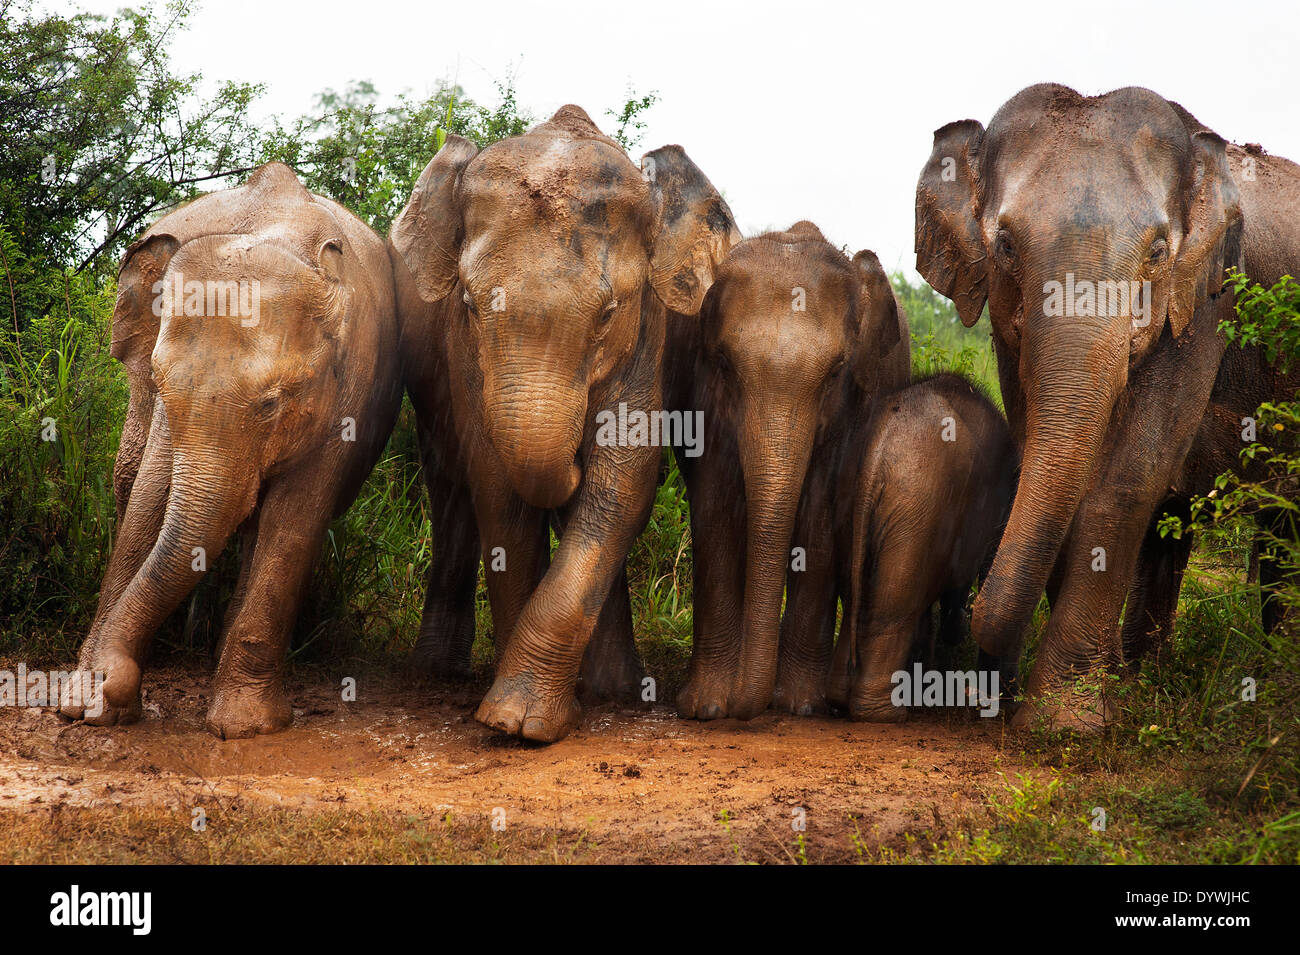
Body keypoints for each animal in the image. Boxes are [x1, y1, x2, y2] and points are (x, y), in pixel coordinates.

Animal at [59, 162, 400, 738]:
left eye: (271, 404)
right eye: (158, 382)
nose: (111, 677)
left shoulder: (350, 387)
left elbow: (296, 517)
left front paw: (244, 727)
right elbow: (150, 500)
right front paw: (90, 703)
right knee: (130, 484)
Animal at [387, 106, 743, 748]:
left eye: (607, 314)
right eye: (470, 304)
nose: (572, 454)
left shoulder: (648, 333)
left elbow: (622, 480)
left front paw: (524, 720)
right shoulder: (464, 352)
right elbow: (496, 485)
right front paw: (508, 719)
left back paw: (612, 689)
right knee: (450, 482)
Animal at [826, 371, 1019, 717]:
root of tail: (878, 445)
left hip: (852, 495)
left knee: (857, 597)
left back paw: (841, 699)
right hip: (916, 504)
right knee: (894, 608)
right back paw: (888, 713)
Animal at [915, 83, 1300, 732]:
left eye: (1159, 252)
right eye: (1005, 245)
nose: (984, 678)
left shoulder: (1205, 302)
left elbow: (1128, 478)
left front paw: (1066, 723)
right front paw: (1097, 698)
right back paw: (1151, 680)